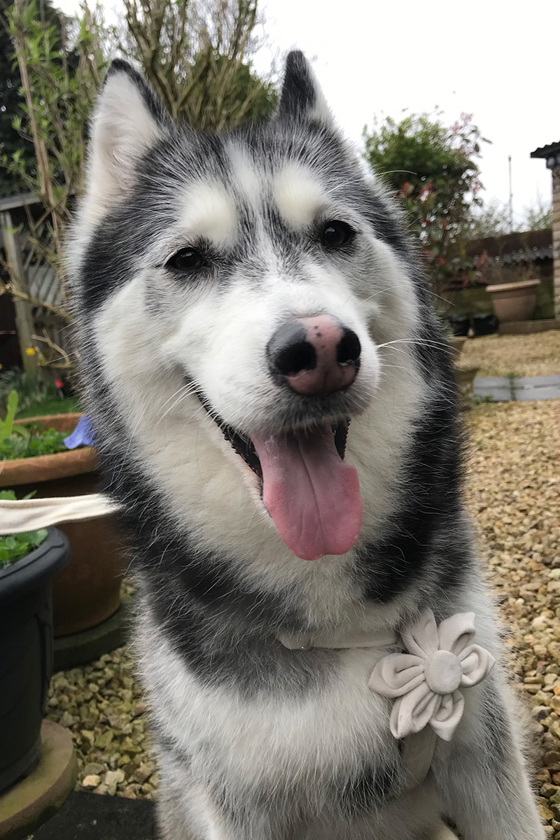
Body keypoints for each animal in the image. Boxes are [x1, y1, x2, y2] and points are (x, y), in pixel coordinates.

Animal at [69, 54, 544, 840]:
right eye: (186, 258)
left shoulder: (485, 755)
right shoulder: (238, 801)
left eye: (336, 233)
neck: (334, 614)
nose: (319, 349)